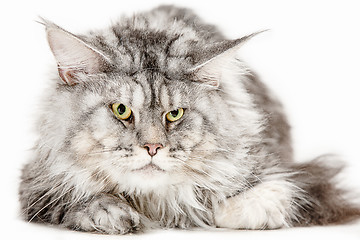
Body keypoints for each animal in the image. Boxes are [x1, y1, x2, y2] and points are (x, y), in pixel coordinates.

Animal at [19, 5, 360, 234]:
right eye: (121, 110)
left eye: (175, 113)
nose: (153, 148)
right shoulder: (35, 185)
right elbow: (78, 200)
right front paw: (113, 214)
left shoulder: (299, 181)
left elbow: (234, 206)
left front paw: (194, 212)